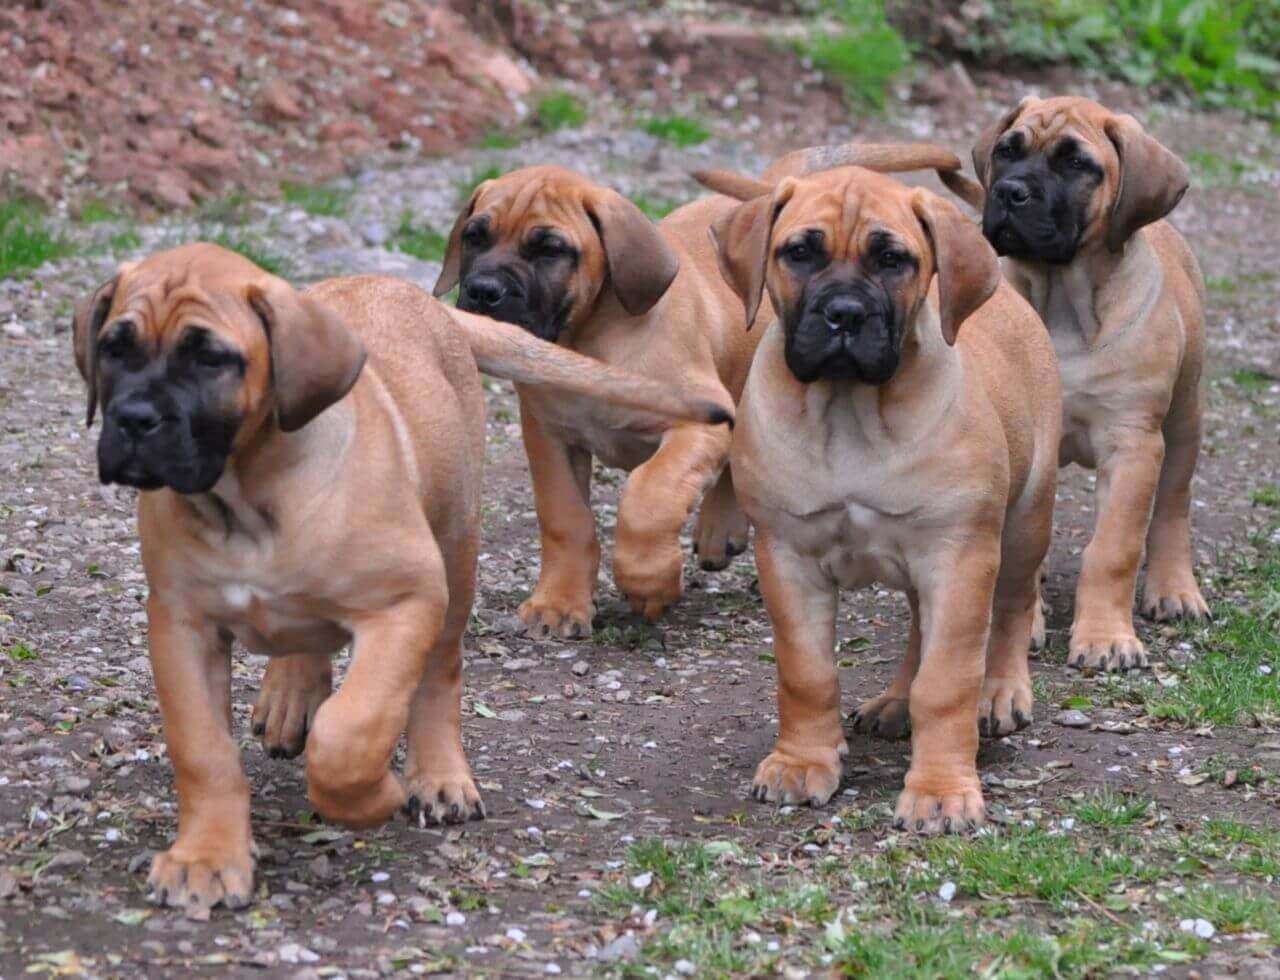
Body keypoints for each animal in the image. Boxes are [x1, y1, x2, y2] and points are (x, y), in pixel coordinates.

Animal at [70, 243, 732, 910]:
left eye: (211, 358)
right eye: (114, 348)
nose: (133, 419)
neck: (247, 499)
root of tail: (418, 298)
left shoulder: (406, 603)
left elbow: (351, 729)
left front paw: (370, 796)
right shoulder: (181, 626)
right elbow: (203, 750)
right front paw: (205, 857)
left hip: (455, 554)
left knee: (439, 674)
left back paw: (438, 777)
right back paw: (290, 696)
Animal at [432, 143, 977, 637]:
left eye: (550, 249)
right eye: (474, 237)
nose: (481, 291)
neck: (591, 338)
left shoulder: (694, 424)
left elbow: (649, 494)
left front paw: (648, 580)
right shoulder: (550, 437)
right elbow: (565, 518)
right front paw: (560, 604)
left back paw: (719, 527)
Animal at [706, 166, 1054, 829]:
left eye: (893, 260)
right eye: (799, 253)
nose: (844, 313)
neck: (849, 411)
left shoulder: (958, 556)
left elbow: (947, 681)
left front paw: (942, 790)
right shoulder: (788, 557)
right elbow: (806, 671)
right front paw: (802, 762)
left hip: (1024, 521)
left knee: (1010, 609)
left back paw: (999, 692)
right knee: (920, 628)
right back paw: (895, 703)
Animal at [972, 95, 1203, 670]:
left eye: (1077, 163)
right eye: (1007, 151)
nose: (1009, 192)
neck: (1063, 307)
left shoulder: (1133, 443)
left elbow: (1113, 549)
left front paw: (1105, 637)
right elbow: (1020, 555)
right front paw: (1023, 625)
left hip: (1184, 423)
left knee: (1173, 507)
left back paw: (1175, 589)